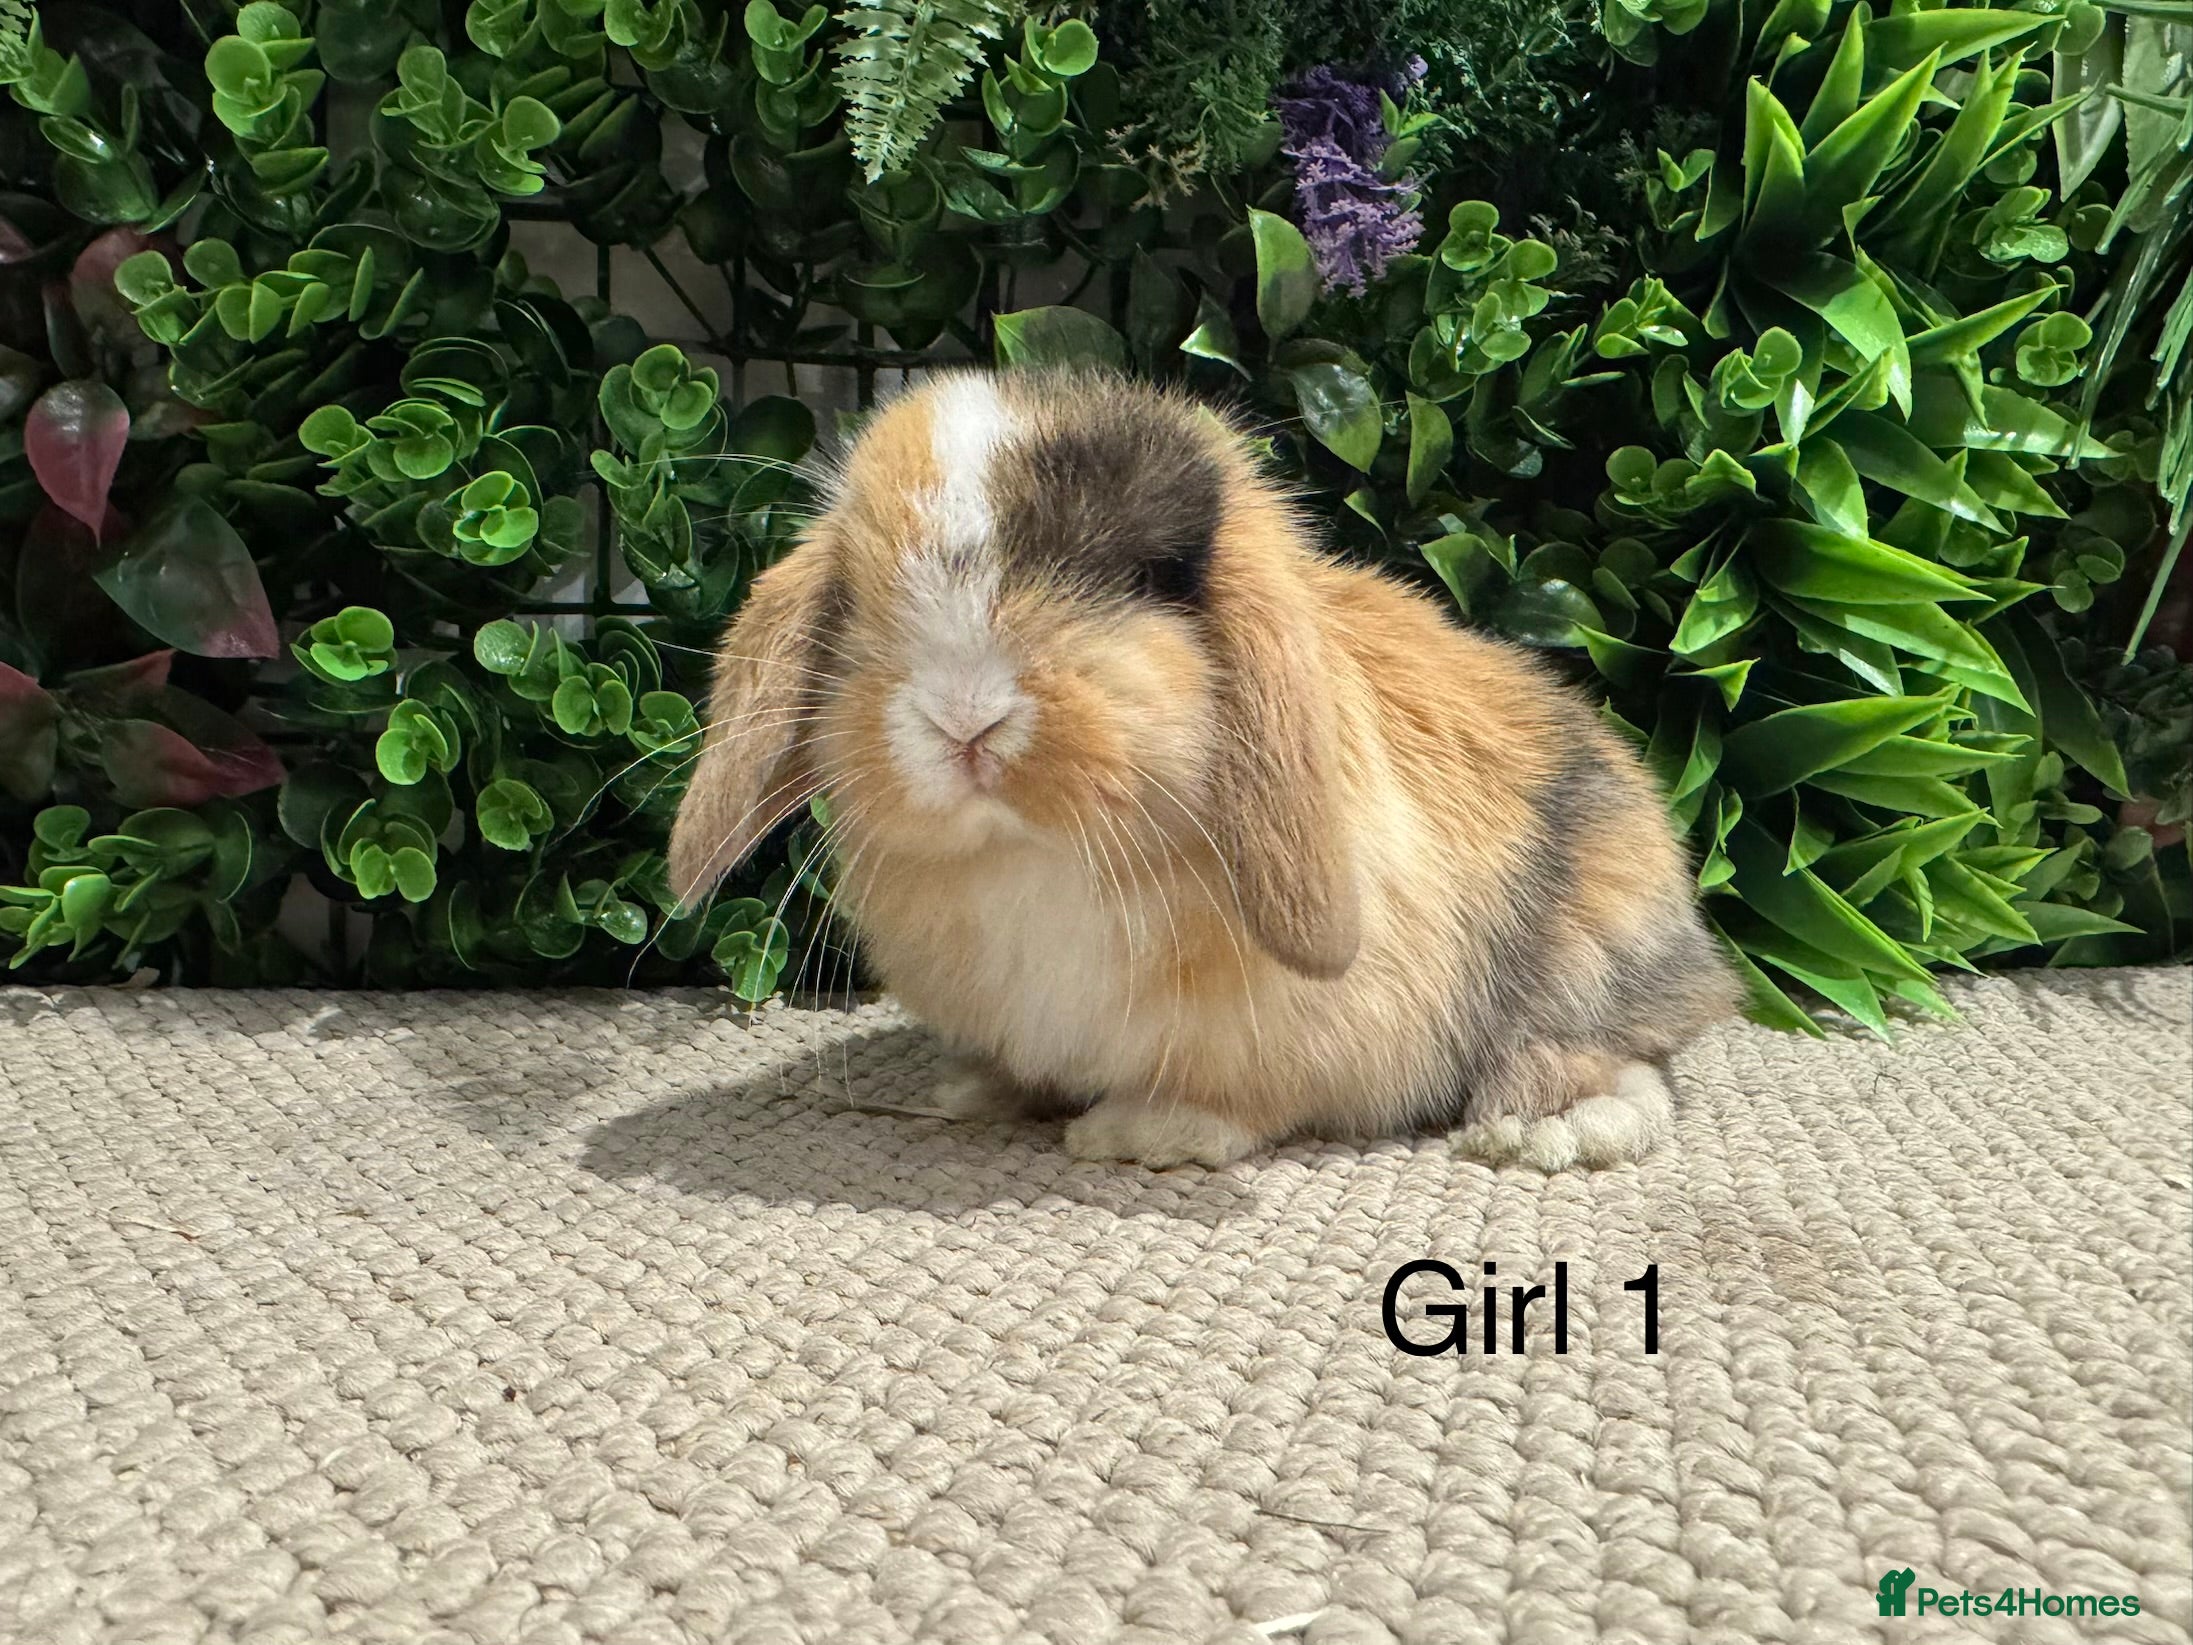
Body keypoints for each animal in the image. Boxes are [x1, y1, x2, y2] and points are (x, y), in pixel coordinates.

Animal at [669, 369, 1740, 1170]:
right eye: (858, 592)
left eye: (1149, 578)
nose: (963, 716)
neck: (1038, 857)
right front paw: (976, 1092)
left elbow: (1235, 1099)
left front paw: (1144, 1134)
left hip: (1589, 945)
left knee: (1623, 1051)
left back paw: (1543, 1129)